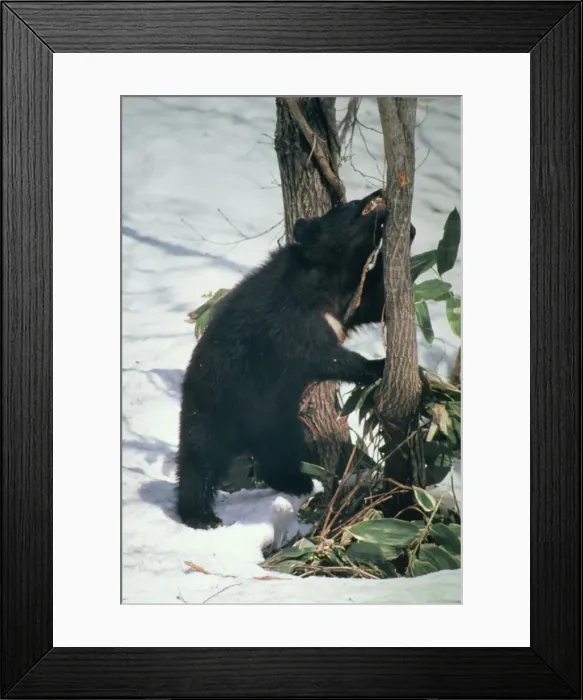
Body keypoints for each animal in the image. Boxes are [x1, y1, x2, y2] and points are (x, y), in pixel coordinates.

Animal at [176, 189, 392, 530]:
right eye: (348, 205)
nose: (378, 193)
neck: (328, 273)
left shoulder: (345, 303)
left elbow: (374, 300)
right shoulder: (291, 316)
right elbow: (317, 354)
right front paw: (377, 365)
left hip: (278, 420)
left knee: (280, 452)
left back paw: (295, 481)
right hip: (213, 407)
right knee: (199, 457)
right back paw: (200, 514)